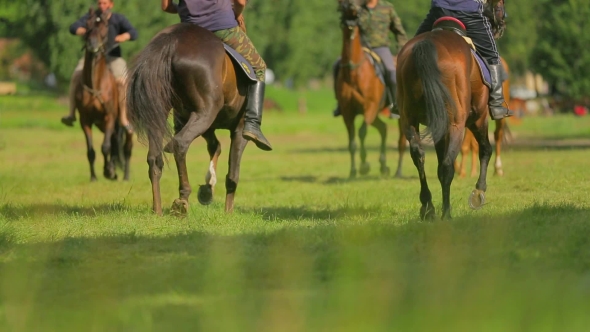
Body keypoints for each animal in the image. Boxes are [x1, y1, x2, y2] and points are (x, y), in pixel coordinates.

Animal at [127, 22, 254, 215]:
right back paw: (182, 199)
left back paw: (158, 210)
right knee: (179, 144)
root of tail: (172, 41)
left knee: (155, 158)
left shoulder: (202, 126)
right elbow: (232, 172)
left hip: (162, 113)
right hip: (205, 114)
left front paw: (208, 189)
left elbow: (215, 147)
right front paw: (228, 210)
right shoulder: (239, 130)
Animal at [338, 0, 408, 179]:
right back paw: (384, 166)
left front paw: (364, 166)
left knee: (402, 141)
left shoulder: (369, 107)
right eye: (342, 4)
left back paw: (398, 171)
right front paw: (353, 171)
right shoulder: (348, 112)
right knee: (383, 128)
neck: (355, 72)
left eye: (356, 6)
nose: (351, 8)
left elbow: (362, 132)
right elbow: (352, 142)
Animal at [398, 0, 508, 220]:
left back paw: (428, 207)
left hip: (410, 120)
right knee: (448, 165)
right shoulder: (478, 119)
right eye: (499, 3)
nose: (502, 23)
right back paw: (446, 213)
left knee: (419, 156)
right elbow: (485, 150)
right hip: (457, 123)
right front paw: (478, 193)